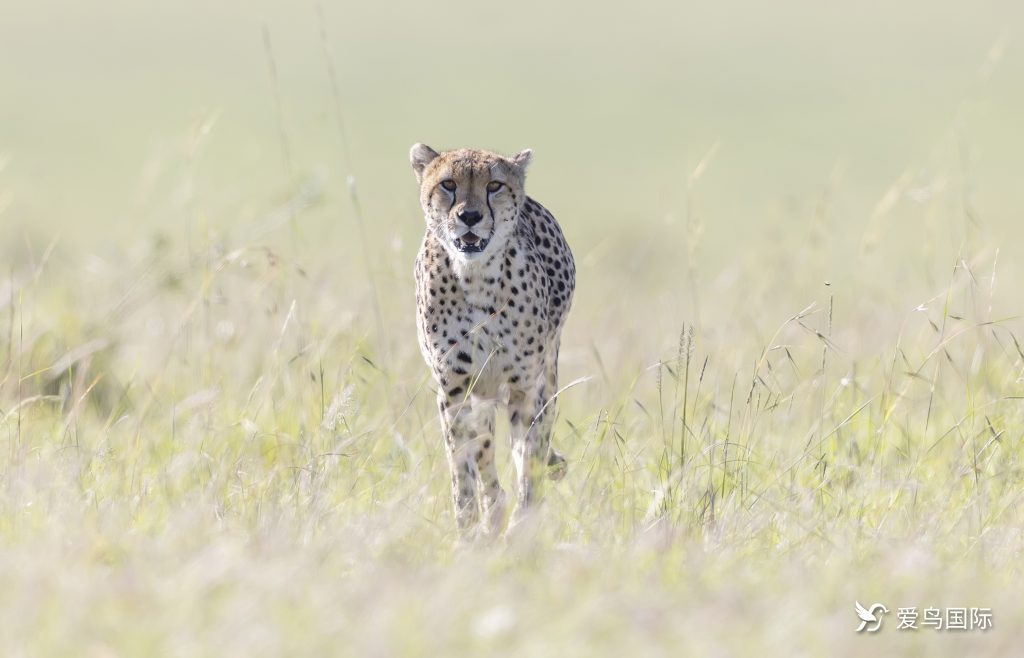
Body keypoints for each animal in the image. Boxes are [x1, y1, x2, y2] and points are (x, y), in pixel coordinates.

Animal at [411, 143, 581, 536]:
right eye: (448, 184)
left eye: (494, 186)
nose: (470, 216)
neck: (476, 277)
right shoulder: (454, 389)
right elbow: (467, 459)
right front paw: (472, 524)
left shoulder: (525, 386)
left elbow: (528, 459)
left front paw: (522, 521)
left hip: (545, 377)